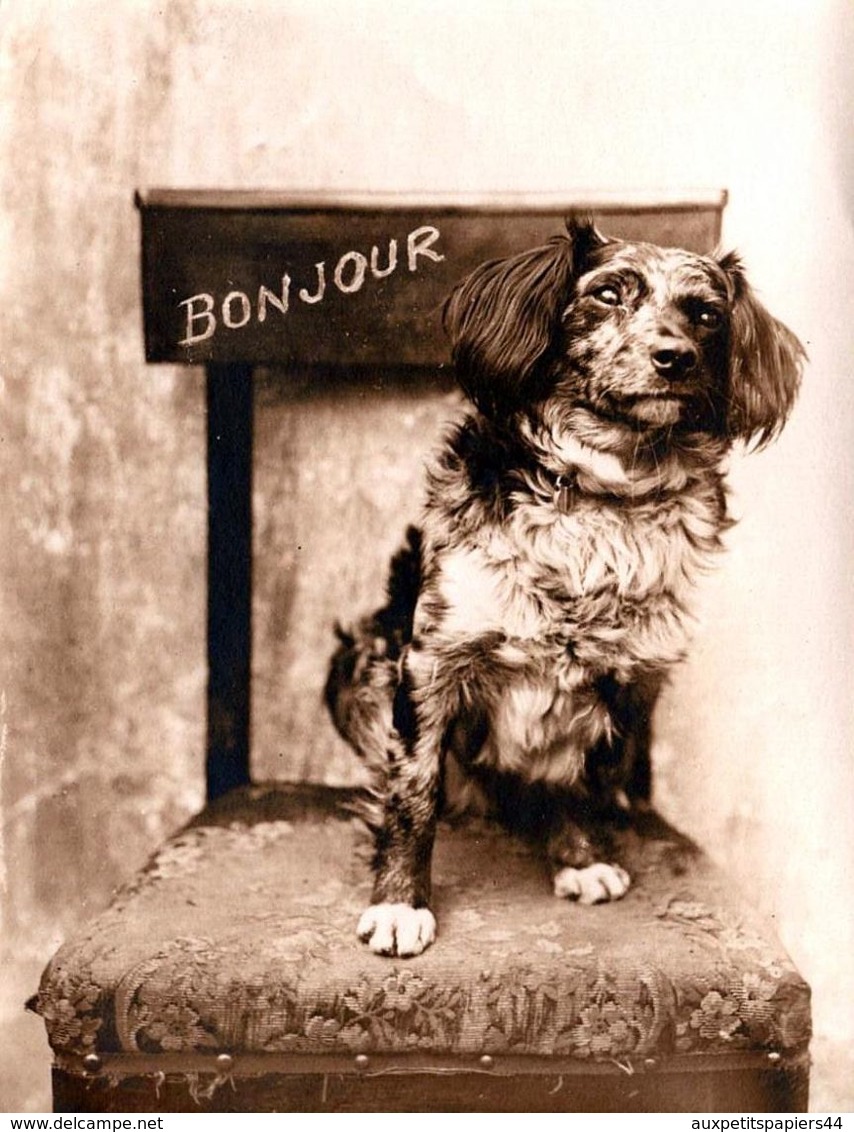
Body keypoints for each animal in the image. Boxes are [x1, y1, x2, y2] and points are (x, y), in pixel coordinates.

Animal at [321, 213, 801, 955]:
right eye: (607, 293)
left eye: (706, 315)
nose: (676, 357)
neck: (601, 494)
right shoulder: (432, 656)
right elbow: (413, 787)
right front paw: (400, 902)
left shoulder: (631, 674)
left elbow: (589, 777)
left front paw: (583, 859)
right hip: (359, 663)